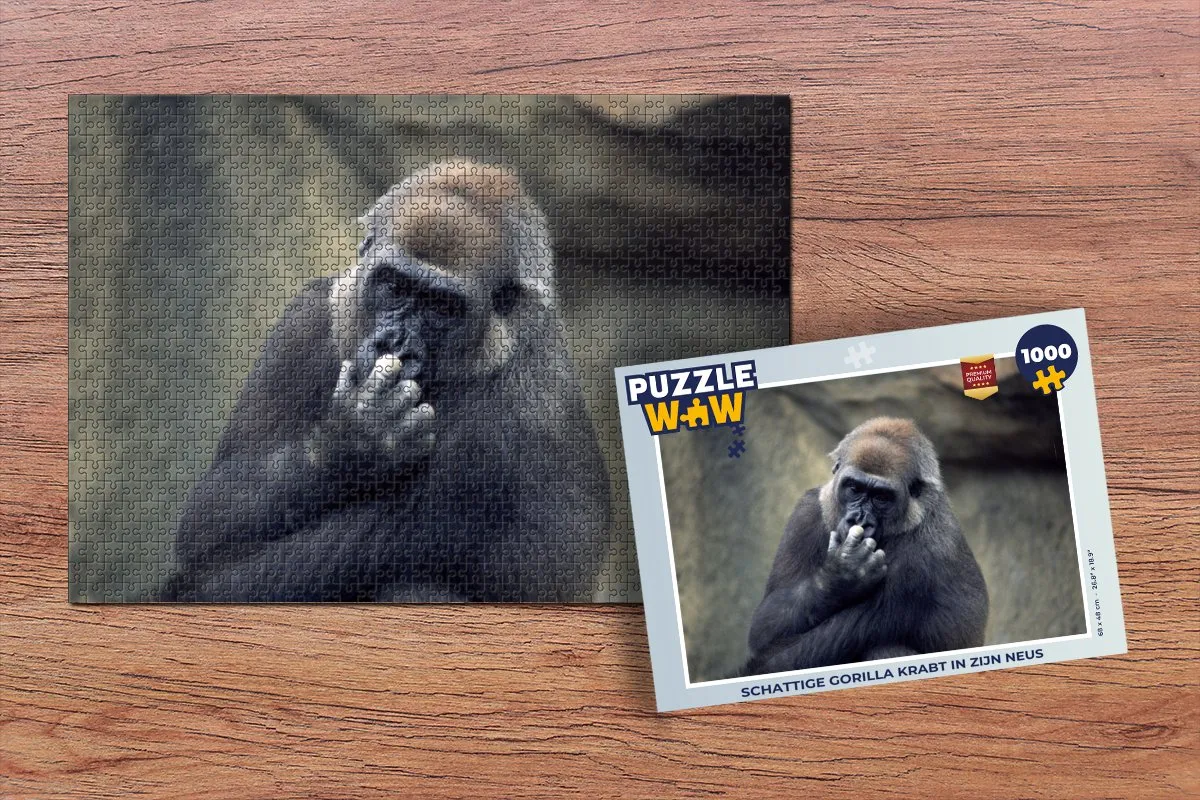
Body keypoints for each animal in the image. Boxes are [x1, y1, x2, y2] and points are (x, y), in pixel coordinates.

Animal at [160, 159, 611, 602]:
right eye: (393, 286)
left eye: (443, 307)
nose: (394, 343)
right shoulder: (310, 313)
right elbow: (211, 509)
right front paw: (353, 444)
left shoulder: (504, 423)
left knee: (417, 589)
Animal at [744, 417, 987, 674]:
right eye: (854, 488)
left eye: (882, 497)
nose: (859, 520)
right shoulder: (806, 511)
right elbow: (766, 623)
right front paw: (840, 576)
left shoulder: (921, 558)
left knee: (884, 649)